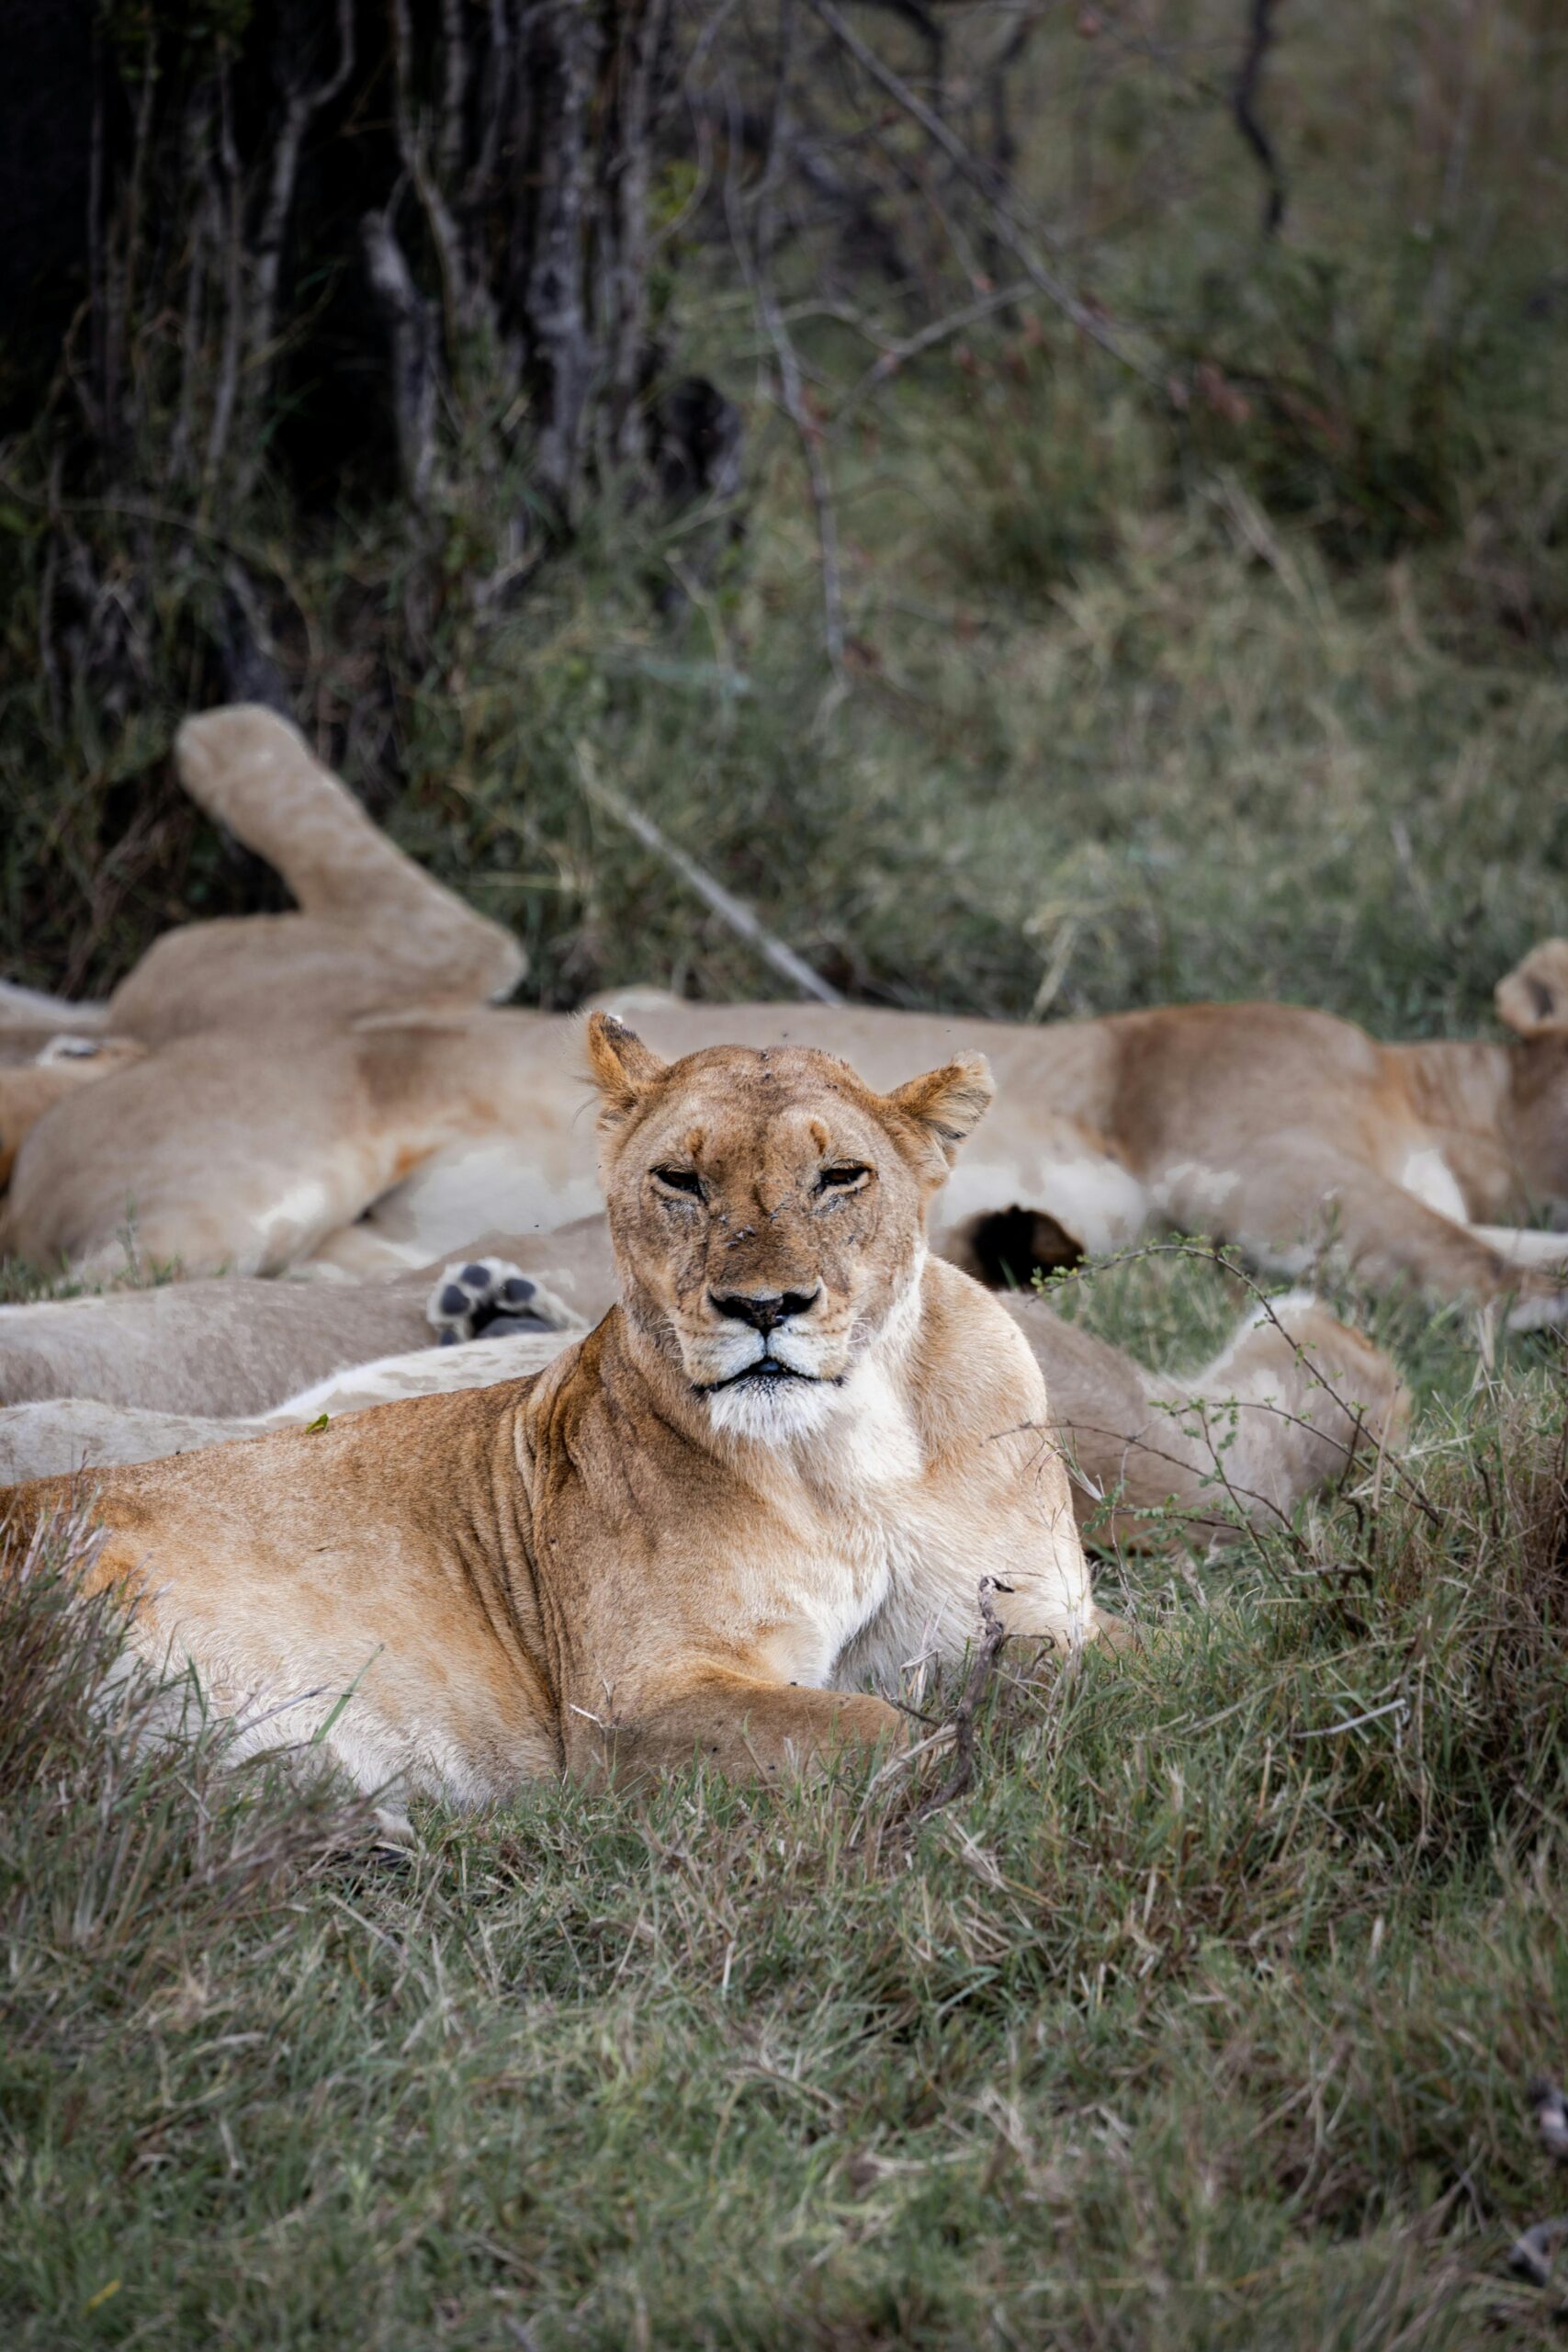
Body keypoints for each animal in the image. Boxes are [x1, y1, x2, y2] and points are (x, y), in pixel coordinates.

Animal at [1, 1021, 1121, 1799]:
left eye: (841, 1176)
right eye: (681, 1178)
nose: (764, 1307)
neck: (845, 1456)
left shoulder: (1045, 1615)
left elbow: (1131, 1673)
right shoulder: (630, 1703)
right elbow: (874, 1728)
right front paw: (964, 1767)